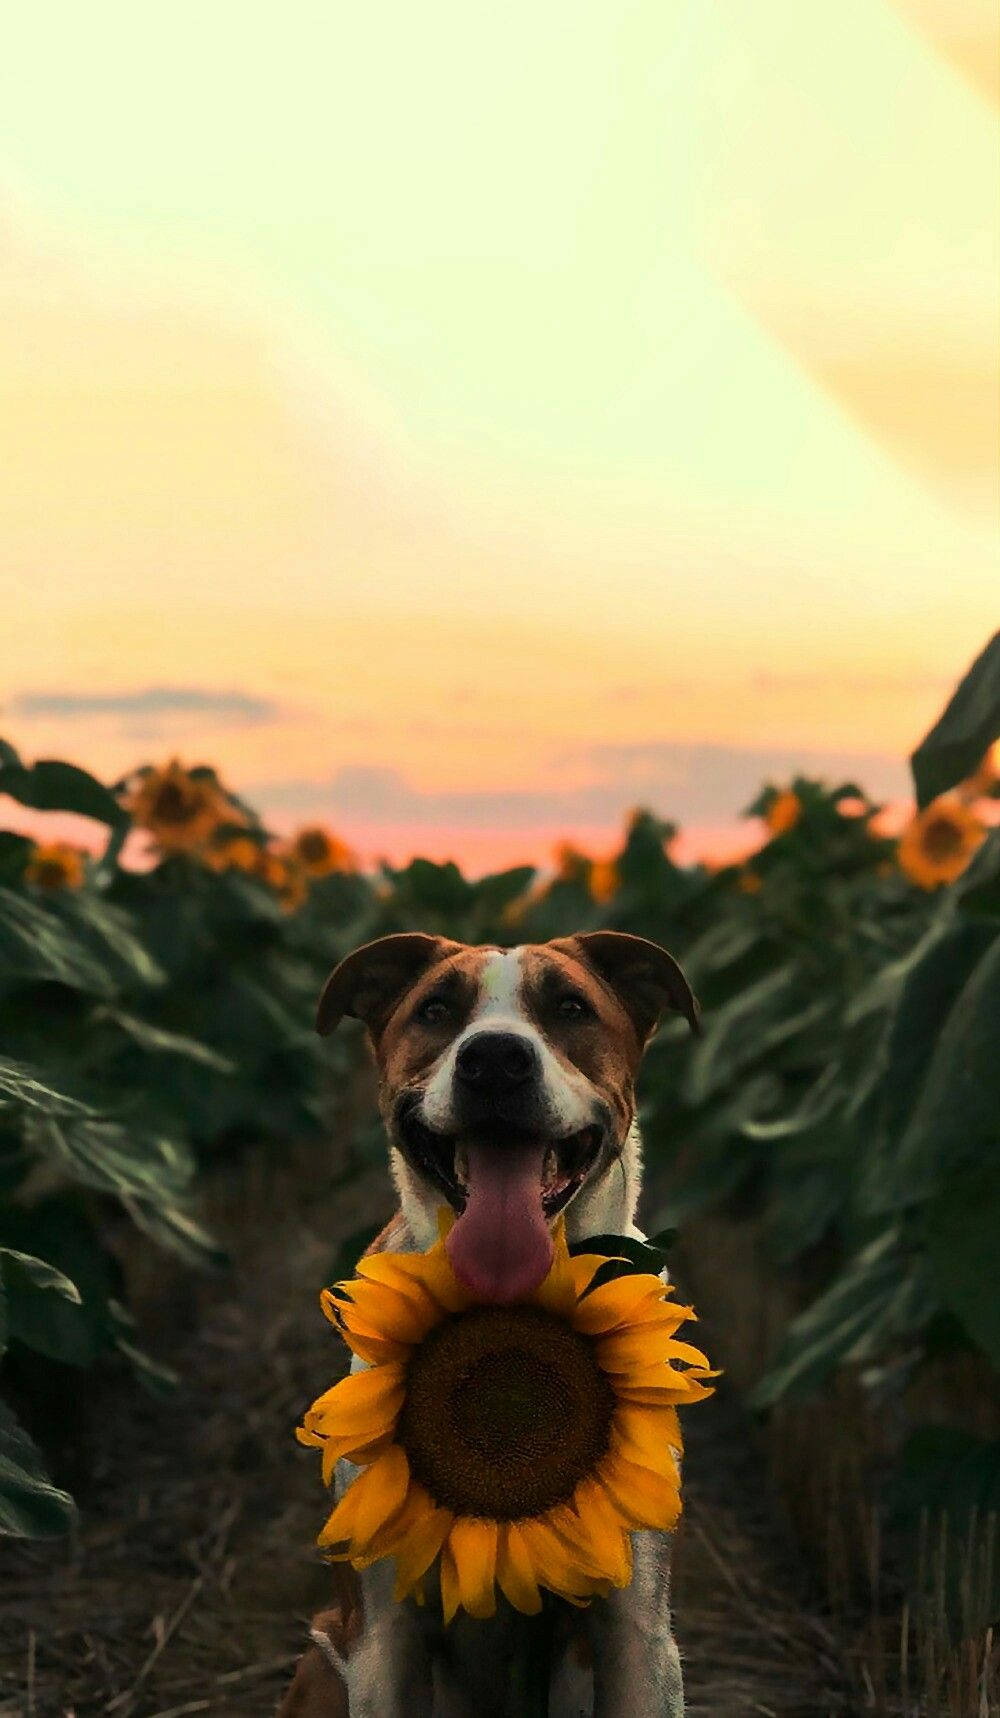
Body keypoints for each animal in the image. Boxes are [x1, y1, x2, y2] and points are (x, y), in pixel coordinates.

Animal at [280, 934, 704, 1718]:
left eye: (570, 1006)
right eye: (435, 1009)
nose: (497, 1059)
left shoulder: (639, 1633)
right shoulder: (383, 1639)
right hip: (325, 1658)